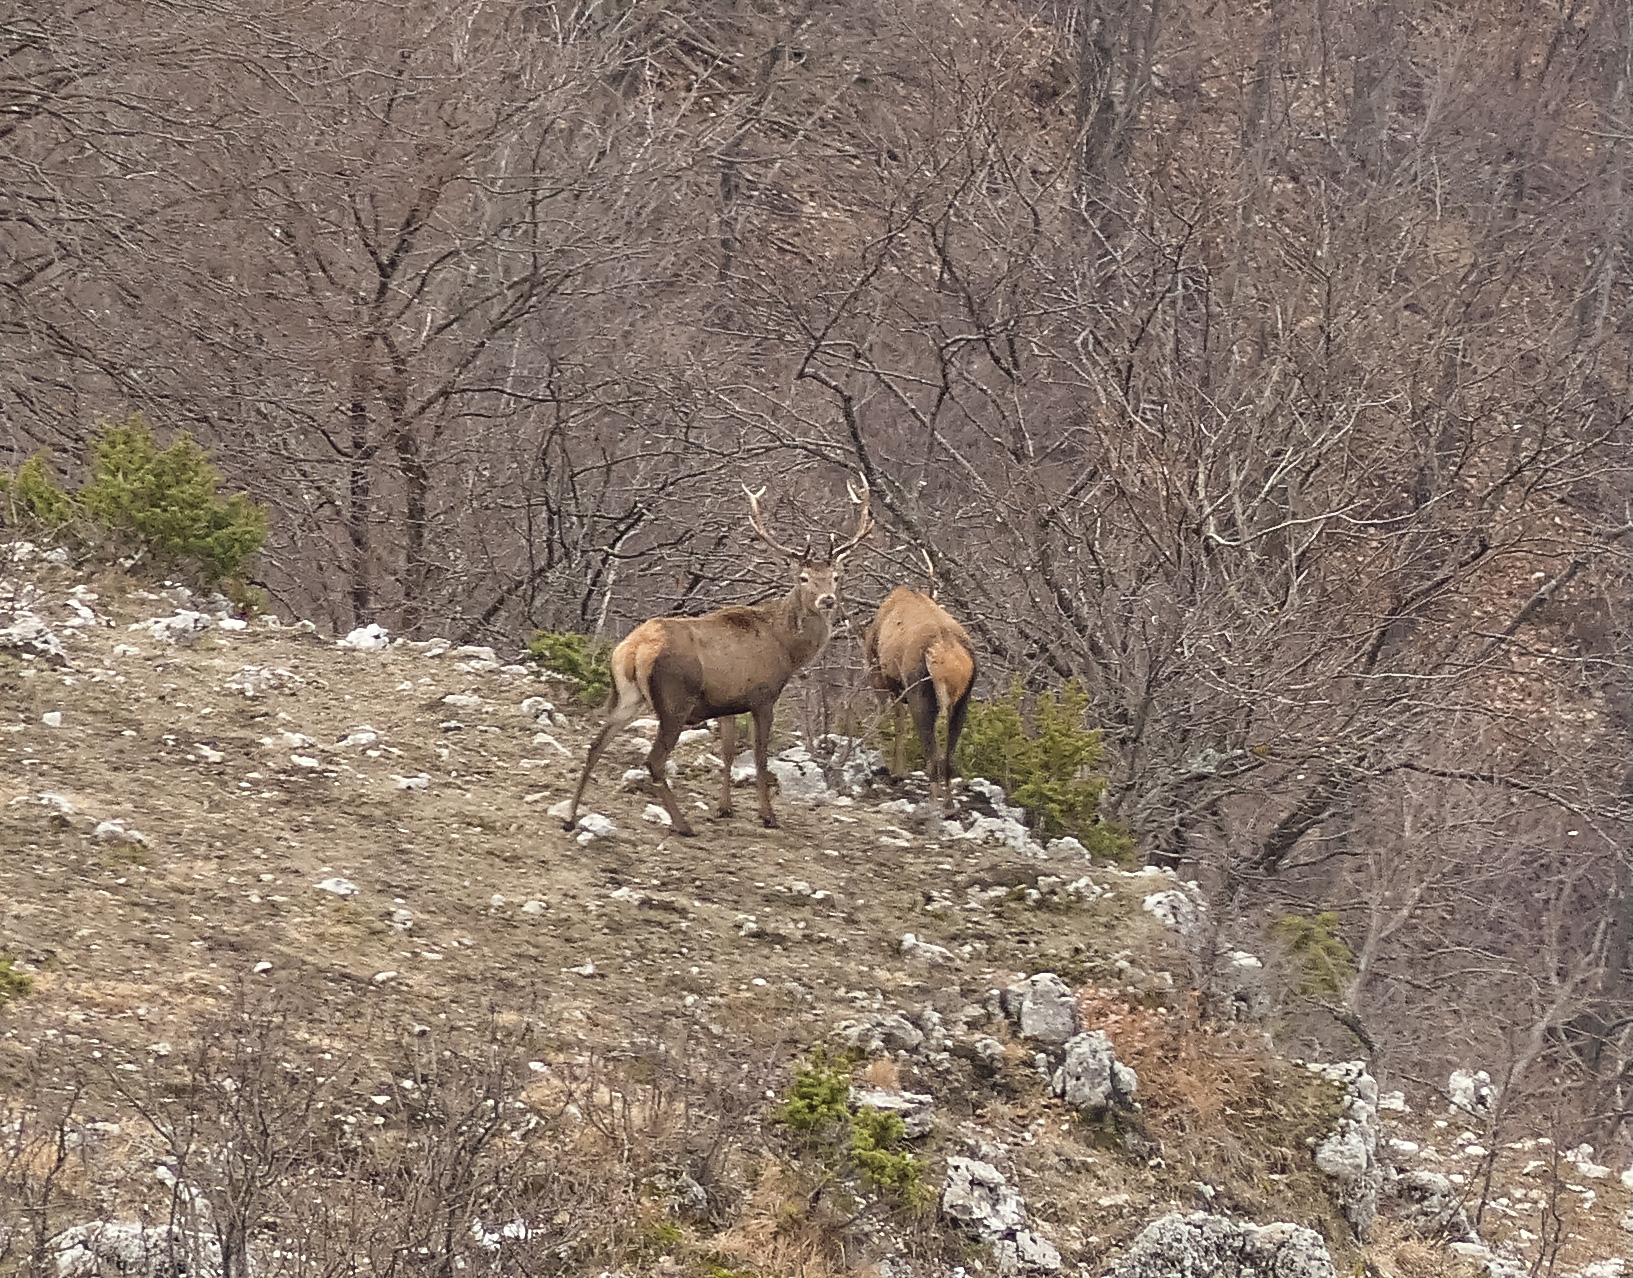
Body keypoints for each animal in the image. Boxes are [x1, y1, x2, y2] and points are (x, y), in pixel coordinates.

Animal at [562, 480, 872, 837]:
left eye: (836, 576)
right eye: (803, 577)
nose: (827, 600)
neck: (788, 649)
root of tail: (633, 648)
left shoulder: (727, 702)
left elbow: (727, 753)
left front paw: (725, 808)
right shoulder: (763, 696)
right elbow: (760, 758)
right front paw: (767, 816)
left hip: (628, 696)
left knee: (595, 744)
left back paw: (570, 817)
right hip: (674, 700)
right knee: (654, 760)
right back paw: (682, 824)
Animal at [863, 552, 977, 815]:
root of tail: (945, 653)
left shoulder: (881, 677)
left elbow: (896, 723)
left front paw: (897, 773)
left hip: (919, 691)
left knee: (931, 751)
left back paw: (932, 802)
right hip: (963, 700)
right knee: (948, 756)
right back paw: (949, 804)